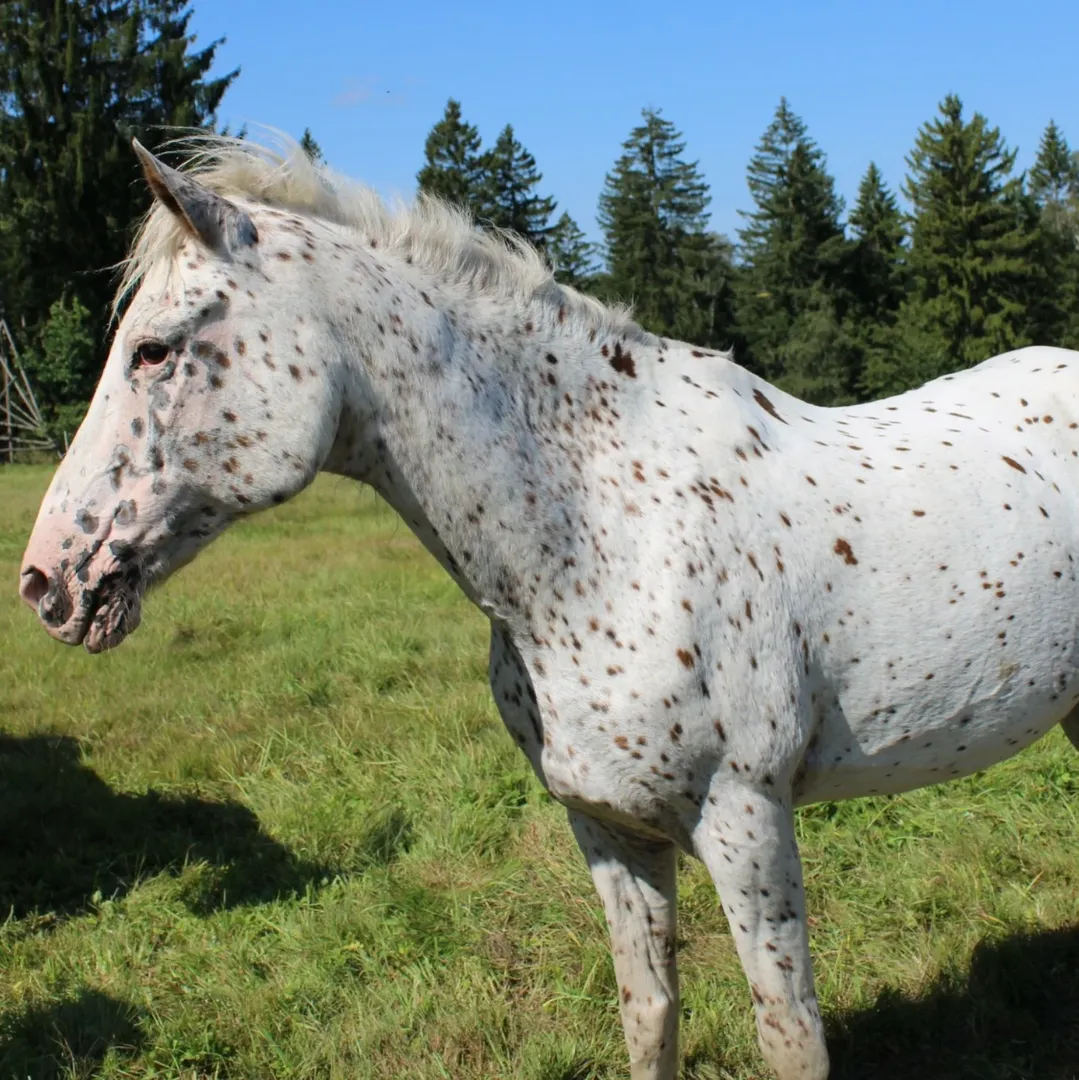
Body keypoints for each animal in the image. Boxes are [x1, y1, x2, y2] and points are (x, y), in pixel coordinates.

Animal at [18, 135, 1079, 1080]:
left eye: (153, 351)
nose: (47, 581)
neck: (603, 533)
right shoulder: (607, 827)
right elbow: (649, 1014)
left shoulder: (745, 816)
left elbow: (790, 1039)